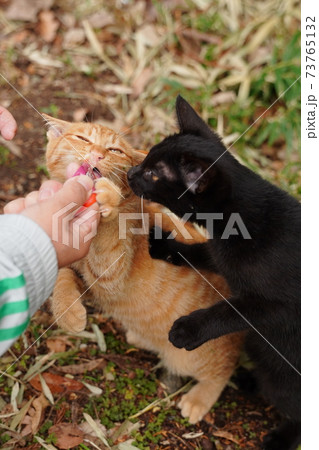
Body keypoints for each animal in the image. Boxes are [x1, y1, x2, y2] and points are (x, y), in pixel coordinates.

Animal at [45, 114, 244, 424]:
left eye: (114, 150)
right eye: (83, 139)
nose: (97, 154)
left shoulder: (110, 275)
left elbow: (109, 237)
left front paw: (108, 199)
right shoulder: (81, 271)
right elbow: (63, 275)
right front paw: (68, 312)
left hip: (192, 354)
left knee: (222, 370)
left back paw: (199, 399)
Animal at [128, 96, 302, 450]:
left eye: (152, 173)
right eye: (147, 159)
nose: (129, 172)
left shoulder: (281, 306)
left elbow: (232, 309)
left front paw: (188, 329)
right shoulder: (217, 252)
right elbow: (201, 253)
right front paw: (165, 244)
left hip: (286, 374)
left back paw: (279, 438)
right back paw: (248, 379)